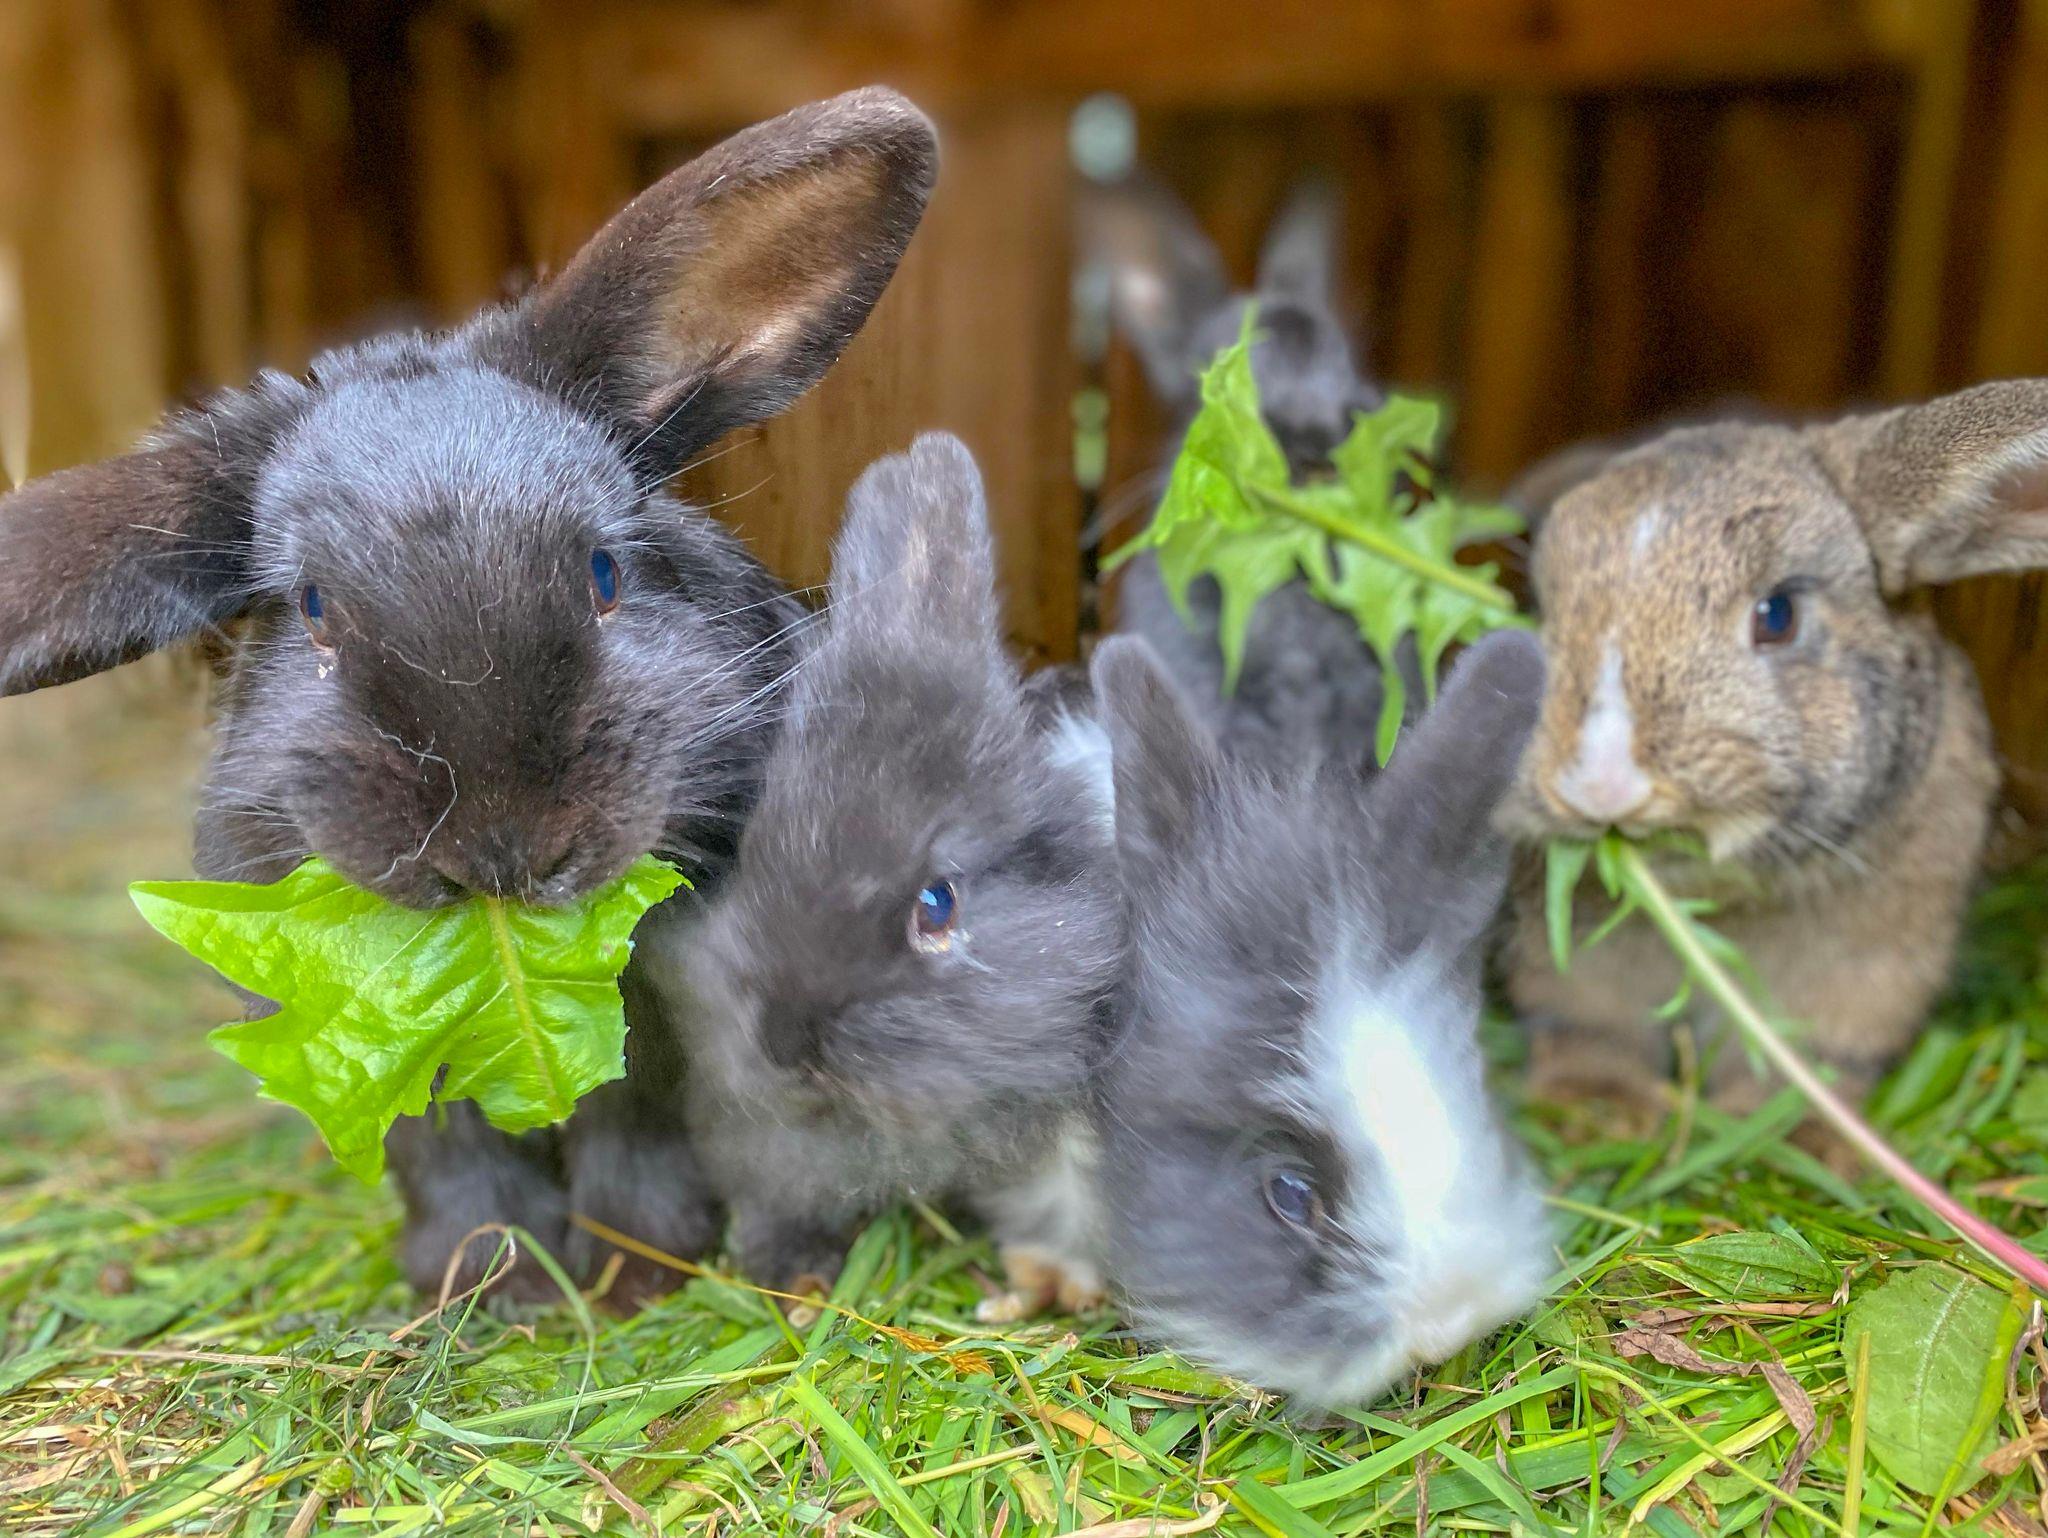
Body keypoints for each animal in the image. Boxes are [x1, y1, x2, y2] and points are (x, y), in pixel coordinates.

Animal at [0, 88, 939, 1308]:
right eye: (311, 610)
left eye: (605, 573)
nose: (504, 849)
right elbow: (451, 1157)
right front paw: (489, 1286)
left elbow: (638, 1133)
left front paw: (632, 1274)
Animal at [642, 431, 1123, 1317]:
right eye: (754, 853)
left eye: (938, 903)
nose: (786, 1044)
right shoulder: (765, 1140)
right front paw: (790, 1275)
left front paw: (1052, 1289)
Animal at [1497, 380, 2048, 1119]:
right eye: (1540, 608)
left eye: (1778, 615)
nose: (1600, 784)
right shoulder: (1572, 975)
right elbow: (1589, 1032)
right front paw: (1597, 1110)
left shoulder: (1871, 973)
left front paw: (1788, 1129)